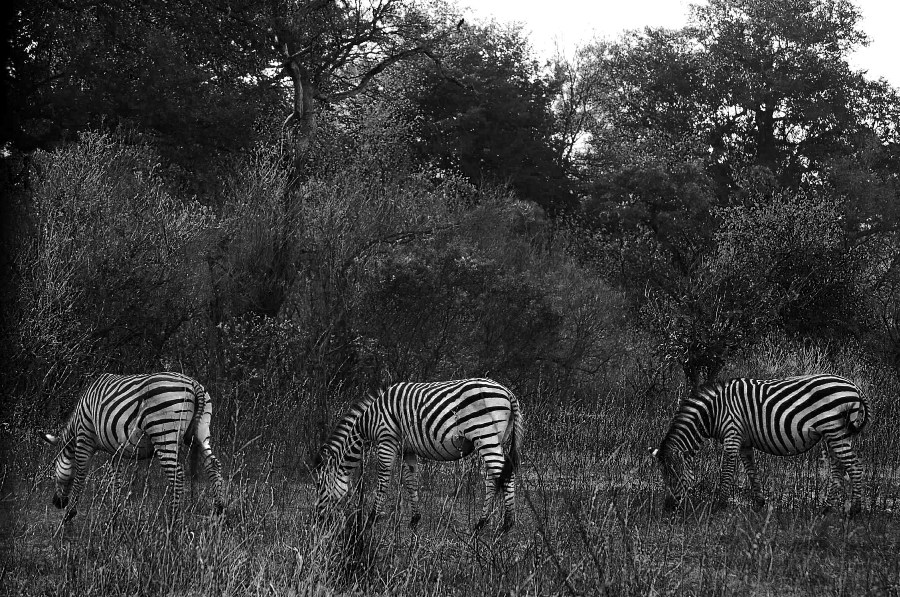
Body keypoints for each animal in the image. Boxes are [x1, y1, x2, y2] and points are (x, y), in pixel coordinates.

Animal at [42, 372, 226, 521]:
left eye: (53, 469)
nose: (56, 503)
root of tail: (193, 383)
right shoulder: (115, 450)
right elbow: (115, 479)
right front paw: (114, 515)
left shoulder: (84, 437)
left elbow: (80, 475)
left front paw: (69, 514)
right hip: (201, 431)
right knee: (213, 465)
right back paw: (219, 510)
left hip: (163, 433)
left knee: (177, 475)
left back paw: (173, 518)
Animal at [314, 378, 524, 533]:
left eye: (319, 485)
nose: (316, 519)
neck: (368, 421)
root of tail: (508, 392)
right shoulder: (408, 449)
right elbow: (411, 481)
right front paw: (415, 519)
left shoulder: (386, 439)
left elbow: (383, 479)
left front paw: (371, 518)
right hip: (497, 439)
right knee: (494, 478)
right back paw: (482, 523)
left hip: (484, 433)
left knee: (505, 475)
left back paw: (506, 525)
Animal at [651, 374, 870, 514]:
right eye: (664, 476)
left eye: (676, 476)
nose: (668, 508)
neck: (714, 412)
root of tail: (854, 387)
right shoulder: (744, 442)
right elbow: (751, 471)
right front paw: (759, 503)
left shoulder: (732, 434)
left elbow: (727, 471)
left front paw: (719, 505)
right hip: (835, 434)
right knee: (838, 469)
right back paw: (827, 509)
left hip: (835, 430)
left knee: (855, 467)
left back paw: (855, 510)